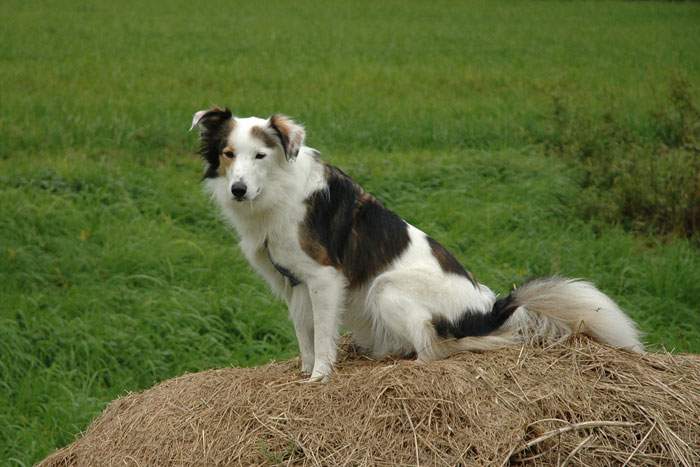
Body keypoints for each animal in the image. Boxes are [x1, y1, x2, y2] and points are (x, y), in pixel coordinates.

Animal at [189, 109, 644, 384]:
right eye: (228, 154)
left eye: (261, 155)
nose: (238, 189)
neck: (278, 194)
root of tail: (488, 312)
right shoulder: (294, 283)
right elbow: (305, 333)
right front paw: (304, 372)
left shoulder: (324, 277)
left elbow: (322, 335)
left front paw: (320, 376)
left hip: (386, 287)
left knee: (435, 348)